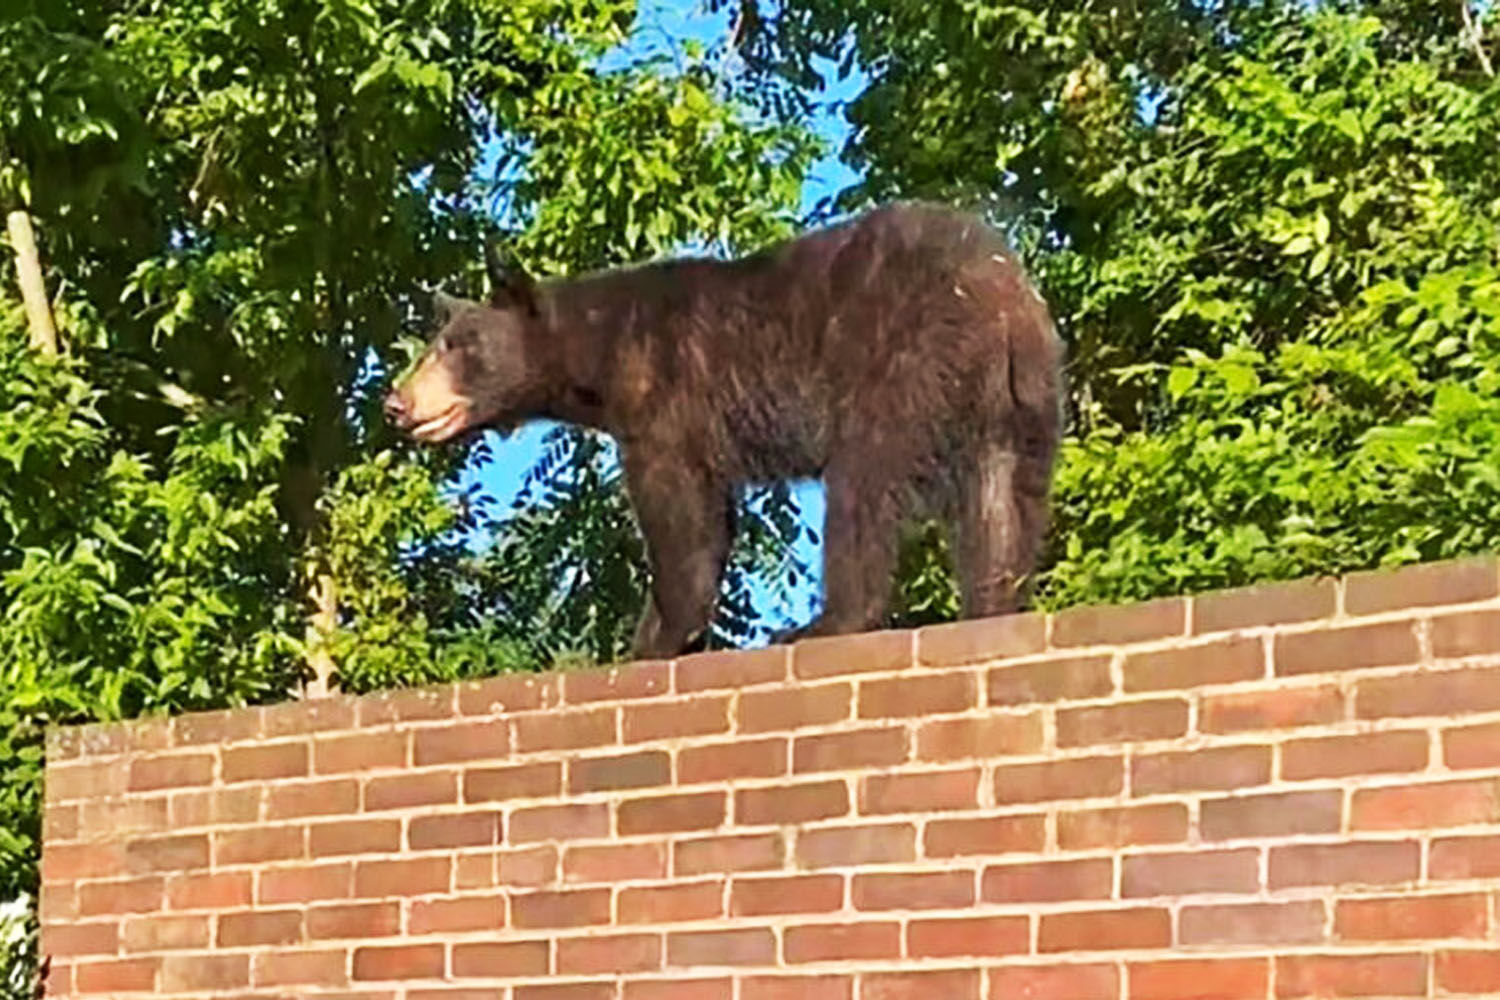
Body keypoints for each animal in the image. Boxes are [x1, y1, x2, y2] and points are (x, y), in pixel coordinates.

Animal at [384, 200, 1065, 660]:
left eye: (456, 345)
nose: (397, 402)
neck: (601, 357)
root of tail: (1004, 297)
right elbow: (711, 517)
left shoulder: (667, 400)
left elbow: (679, 513)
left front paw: (659, 634)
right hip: (1019, 407)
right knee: (1004, 504)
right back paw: (992, 604)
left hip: (900, 367)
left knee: (864, 486)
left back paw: (824, 622)